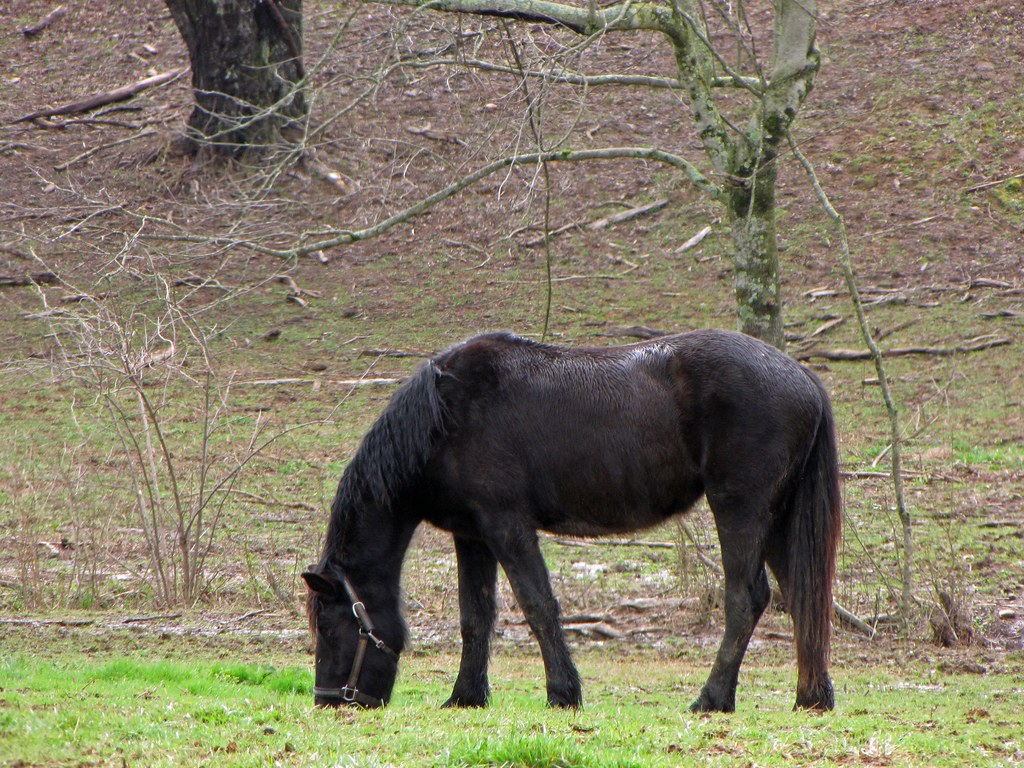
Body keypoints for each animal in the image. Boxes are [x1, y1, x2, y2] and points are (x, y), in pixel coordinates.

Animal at [302, 329, 841, 713]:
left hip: (740, 511)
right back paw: (811, 697)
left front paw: (563, 693)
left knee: (746, 599)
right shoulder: (472, 536)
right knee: (802, 597)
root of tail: (803, 378)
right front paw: (465, 697)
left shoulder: (508, 528)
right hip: (776, 521)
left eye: (328, 625)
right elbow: (475, 616)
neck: (444, 417)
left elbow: (537, 605)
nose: (330, 700)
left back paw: (713, 699)